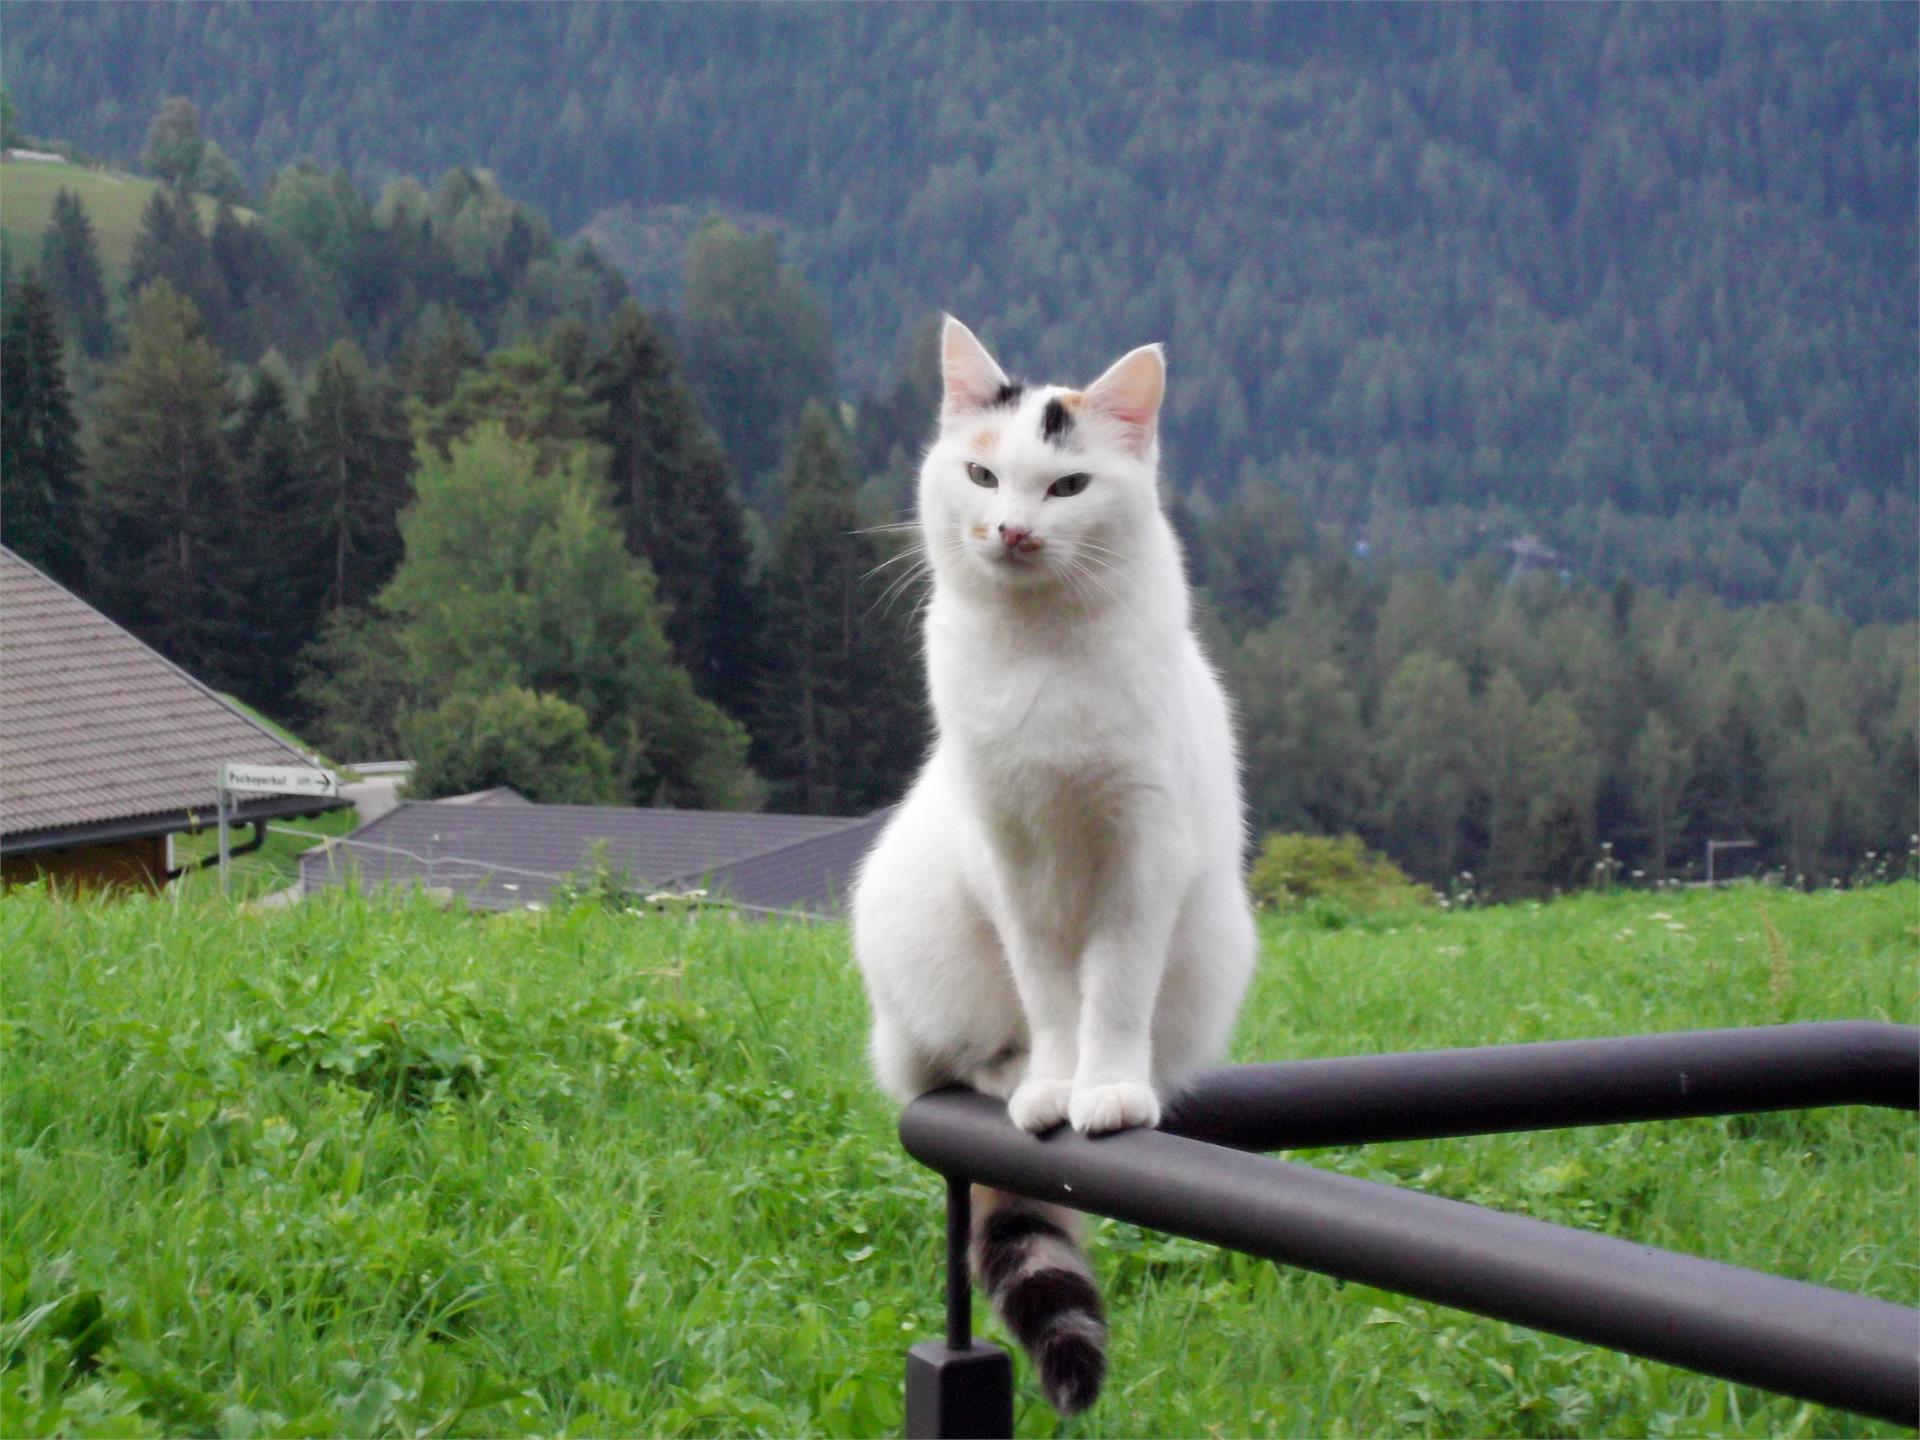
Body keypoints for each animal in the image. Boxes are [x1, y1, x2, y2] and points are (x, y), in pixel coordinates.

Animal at [856, 318, 1259, 1420]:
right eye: (982, 473)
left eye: (1069, 487)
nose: (1011, 531)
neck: (1038, 656)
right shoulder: (1008, 858)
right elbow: (1048, 993)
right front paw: (1050, 1080)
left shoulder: (1144, 854)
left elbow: (1111, 990)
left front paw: (1104, 1088)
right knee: (947, 1060)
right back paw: (1007, 1073)